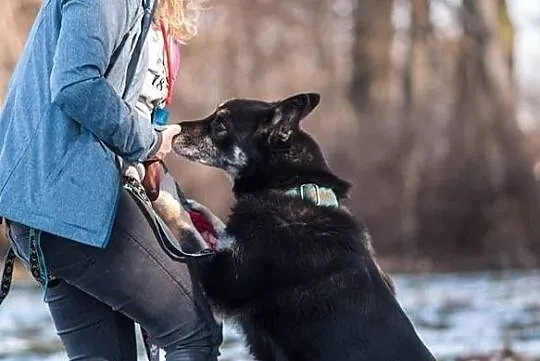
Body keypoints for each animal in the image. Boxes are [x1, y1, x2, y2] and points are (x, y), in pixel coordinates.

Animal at [171, 93, 436, 360]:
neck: (292, 190)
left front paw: (167, 197)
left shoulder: (222, 286)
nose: (173, 128)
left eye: (220, 125)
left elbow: (187, 229)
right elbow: (215, 229)